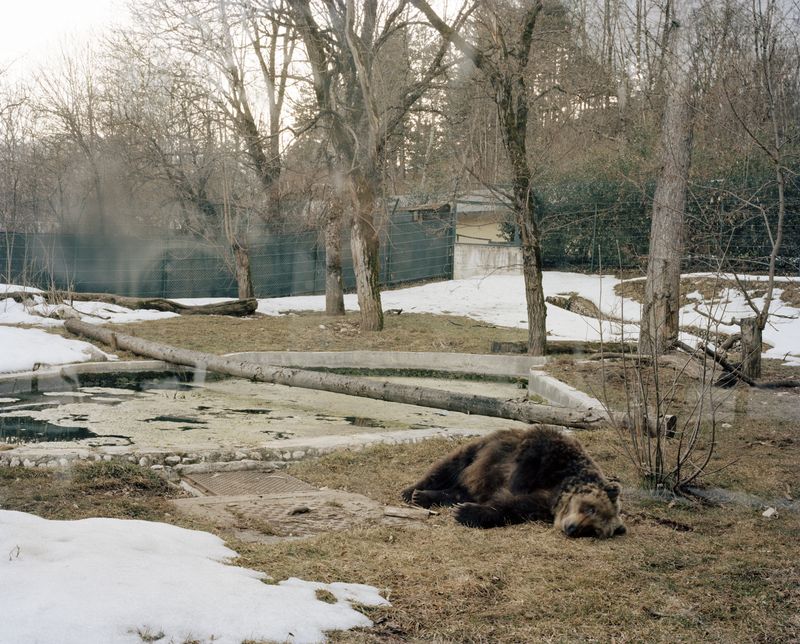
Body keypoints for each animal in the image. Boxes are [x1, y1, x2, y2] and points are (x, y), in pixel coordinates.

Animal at [401, 425, 626, 538]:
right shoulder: (553, 455)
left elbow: (511, 507)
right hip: (482, 449)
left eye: (593, 531)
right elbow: (527, 465)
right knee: (451, 465)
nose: (572, 528)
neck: (559, 486)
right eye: (590, 508)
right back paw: (413, 491)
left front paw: (465, 512)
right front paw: (514, 484)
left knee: (458, 490)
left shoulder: (542, 504)